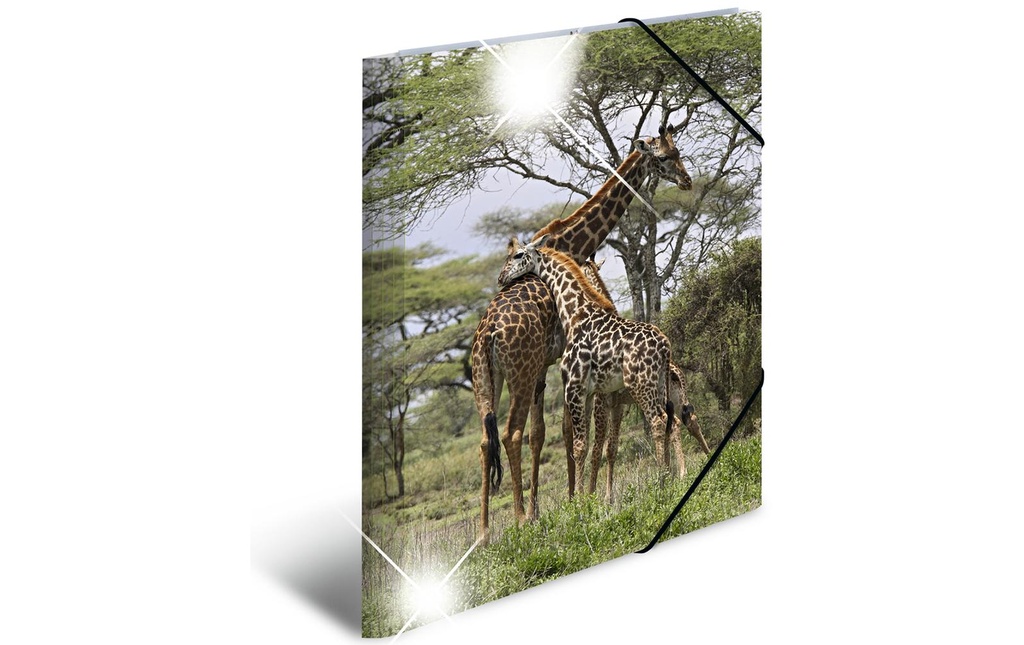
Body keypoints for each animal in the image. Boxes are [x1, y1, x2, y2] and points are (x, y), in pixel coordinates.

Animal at [496, 235, 681, 501]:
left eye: (518, 254)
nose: (501, 278)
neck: (575, 313)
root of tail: (665, 345)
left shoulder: (574, 388)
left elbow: (581, 445)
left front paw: (581, 501)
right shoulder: (591, 392)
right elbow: (589, 445)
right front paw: (588, 497)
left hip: (641, 384)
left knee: (658, 420)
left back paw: (662, 482)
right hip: (658, 383)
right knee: (671, 421)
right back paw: (673, 476)